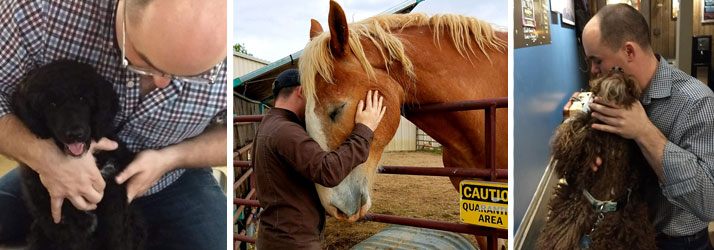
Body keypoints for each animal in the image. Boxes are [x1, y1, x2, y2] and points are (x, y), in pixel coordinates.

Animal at [11, 60, 145, 250]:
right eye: (51, 104)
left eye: (83, 99)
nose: (75, 134)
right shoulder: (60, 219)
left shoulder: (114, 205)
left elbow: (117, 238)